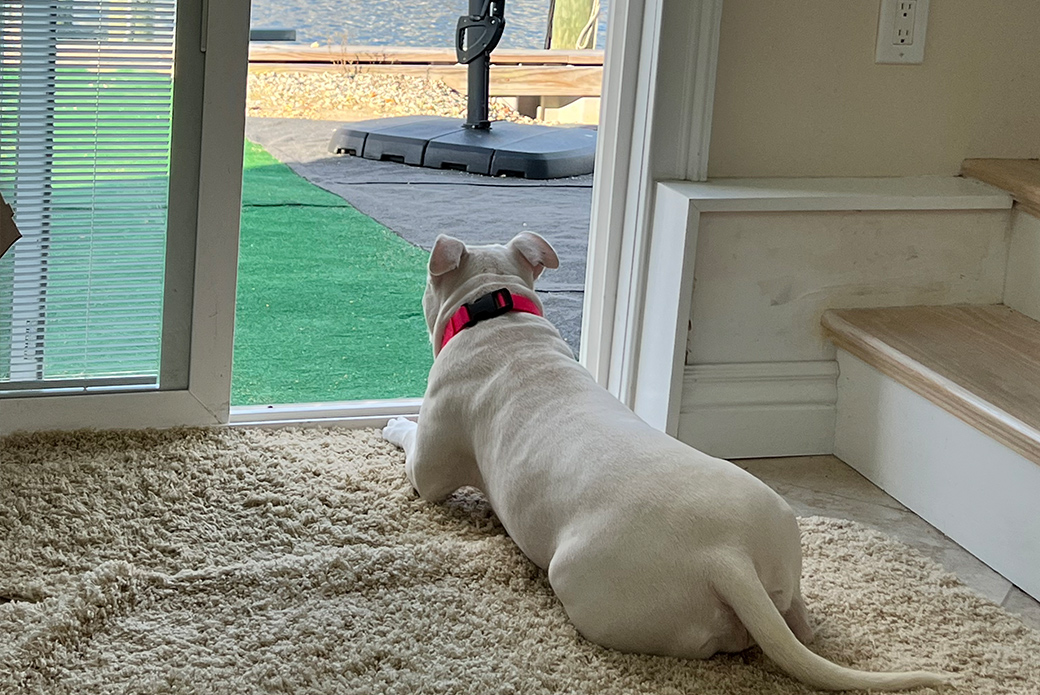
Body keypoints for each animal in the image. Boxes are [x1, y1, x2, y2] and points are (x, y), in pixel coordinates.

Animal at [382, 232, 946, 691]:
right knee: (796, 622)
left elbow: (414, 453)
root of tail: (726, 555)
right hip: (781, 550)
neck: (497, 313)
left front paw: (392, 424)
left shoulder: (429, 469)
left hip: (587, 585)